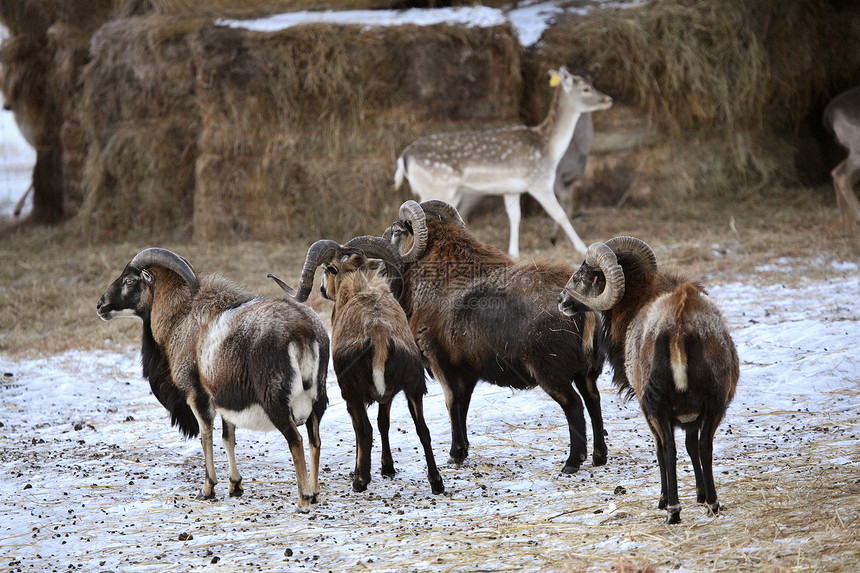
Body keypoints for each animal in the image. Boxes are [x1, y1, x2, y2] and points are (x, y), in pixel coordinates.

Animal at [396, 65, 612, 260]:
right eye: (586, 88)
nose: (608, 99)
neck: (548, 148)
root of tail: (404, 156)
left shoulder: (511, 189)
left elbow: (515, 217)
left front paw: (514, 253)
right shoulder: (539, 182)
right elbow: (560, 214)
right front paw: (582, 248)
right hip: (436, 184)